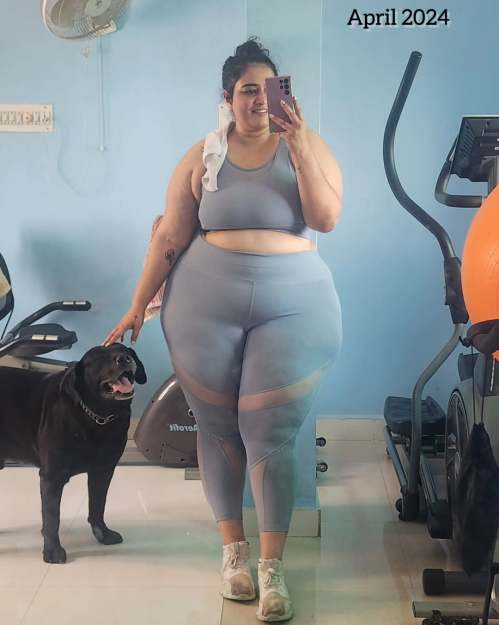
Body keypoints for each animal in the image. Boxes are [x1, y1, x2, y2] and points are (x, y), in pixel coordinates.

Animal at [0, 343, 146, 563]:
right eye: (98, 358)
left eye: (127, 351)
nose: (124, 359)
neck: (98, 417)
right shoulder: (52, 477)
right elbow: (52, 517)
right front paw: (52, 551)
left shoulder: (103, 471)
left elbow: (98, 505)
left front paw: (102, 534)